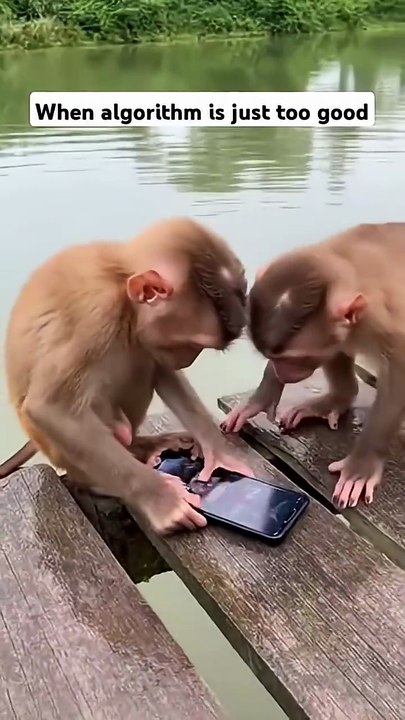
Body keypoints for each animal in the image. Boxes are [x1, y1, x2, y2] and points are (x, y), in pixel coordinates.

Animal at [5, 217, 253, 535]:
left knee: (141, 360)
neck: (121, 283)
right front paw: (164, 501)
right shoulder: (96, 317)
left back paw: (144, 445)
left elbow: (162, 368)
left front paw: (218, 453)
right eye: (192, 345)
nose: (189, 359)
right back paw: (100, 480)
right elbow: (50, 408)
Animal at [221, 222, 405, 510]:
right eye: (273, 357)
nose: (281, 372)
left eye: (294, 359)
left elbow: (398, 374)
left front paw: (360, 467)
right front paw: (261, 397)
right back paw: (337, 399)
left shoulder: (387, 325)